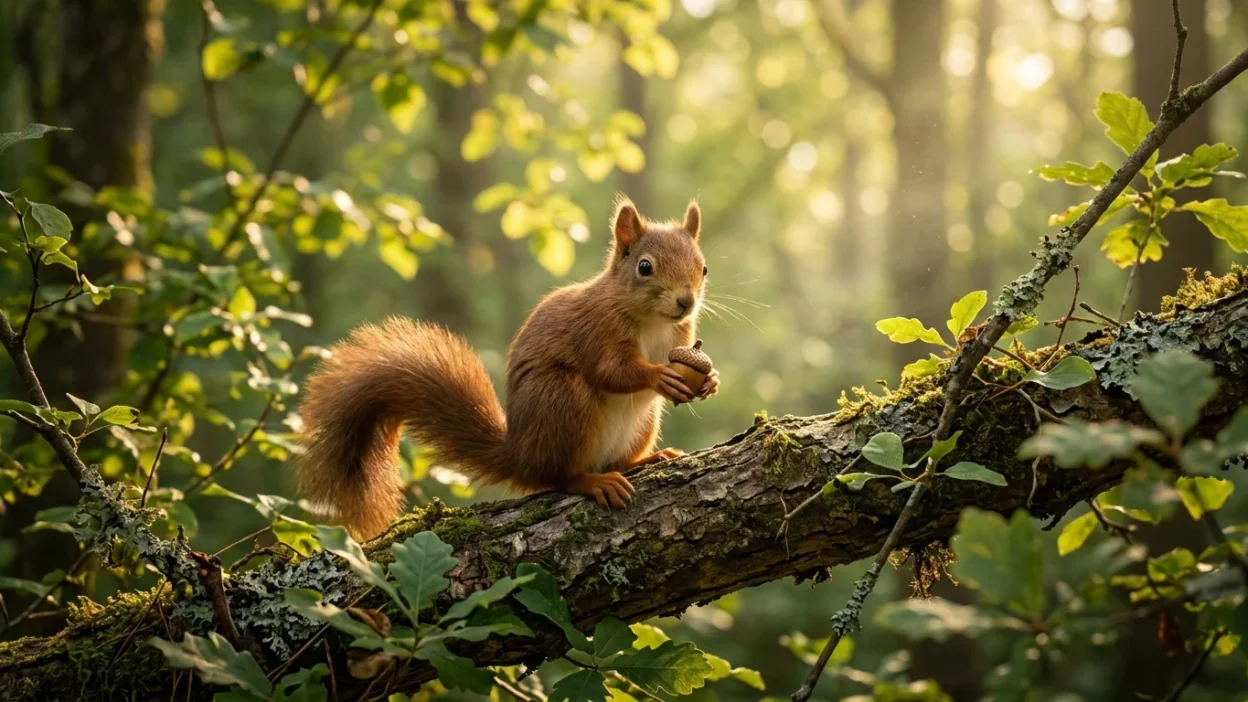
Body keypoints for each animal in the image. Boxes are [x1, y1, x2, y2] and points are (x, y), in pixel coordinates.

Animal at [294, 196, 719, 539]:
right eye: (645, 267)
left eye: (703, 268)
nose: (686, 301)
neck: (654, 321)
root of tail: (520, 454)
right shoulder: (597, 330)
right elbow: (611, 371)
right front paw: (658, 376)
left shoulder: (680, 336)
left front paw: (710, 381)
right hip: (563, 401)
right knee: (557, 477)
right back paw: (590, 481)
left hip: (641, 422)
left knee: (617, 460)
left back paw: (648, 458)